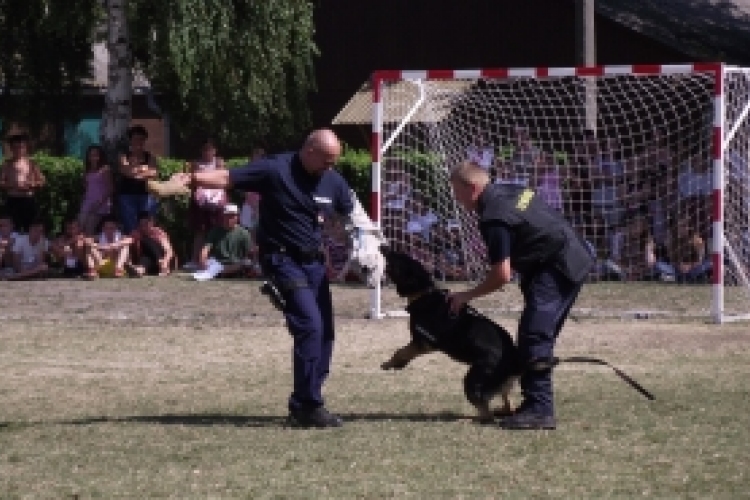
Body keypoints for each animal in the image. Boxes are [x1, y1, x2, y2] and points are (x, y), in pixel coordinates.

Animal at [382, 246, 524, 422]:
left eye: (400, 258)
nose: (383, 246)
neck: (424, 293)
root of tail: (514, 359)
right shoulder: (420, 343)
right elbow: (402, 352)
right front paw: (395, 364)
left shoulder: (424, 343)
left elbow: (401, 351)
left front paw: (389, 363)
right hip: (500, 385)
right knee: (507, 404)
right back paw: (502, 412)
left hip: (473, 381)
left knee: (485, 410)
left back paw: (473, 420)